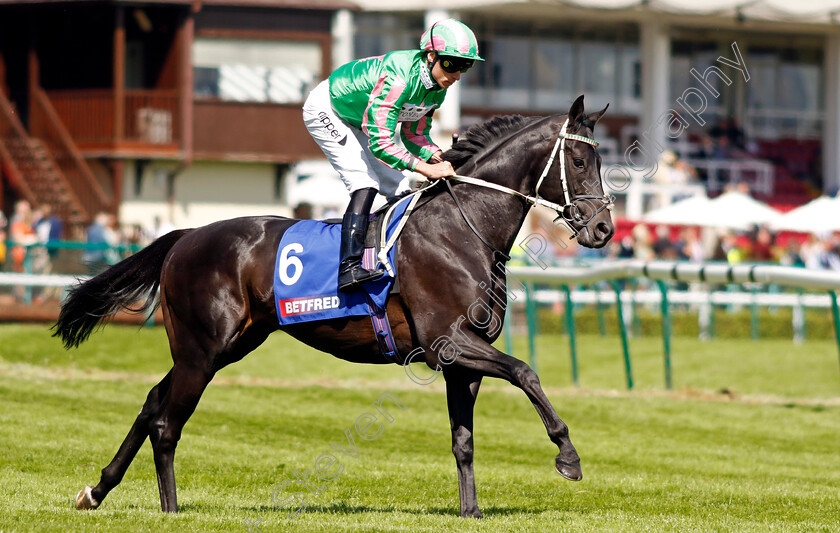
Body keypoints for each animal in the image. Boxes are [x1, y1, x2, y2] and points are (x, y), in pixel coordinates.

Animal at [55, 94, 612, 516]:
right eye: (580, 161)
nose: (604, 228)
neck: (461, 228)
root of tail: (186, 236)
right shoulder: (447, 342)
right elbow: (525, 373)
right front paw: (568, 456)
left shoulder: (461, 359)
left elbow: (464, 440)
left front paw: (471, 510)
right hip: (202, 350)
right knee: (167, 422)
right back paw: (169, 509)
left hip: (222, 346)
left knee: (152, 402)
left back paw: (97, 490)